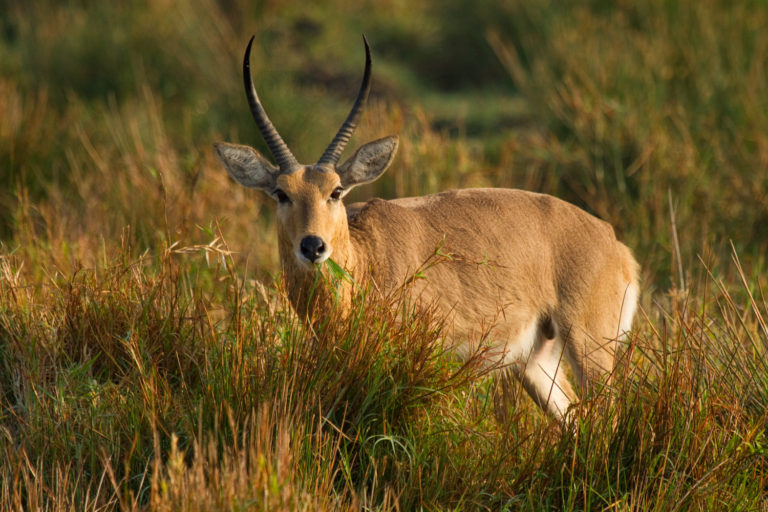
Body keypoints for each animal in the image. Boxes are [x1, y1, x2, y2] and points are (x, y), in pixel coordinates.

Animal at [213, 36, 640, 420]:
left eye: (335, 191)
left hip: (590, 349)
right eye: (281, 193)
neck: (366, 262)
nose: (313, 246)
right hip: (535, 364)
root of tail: (613, 241)